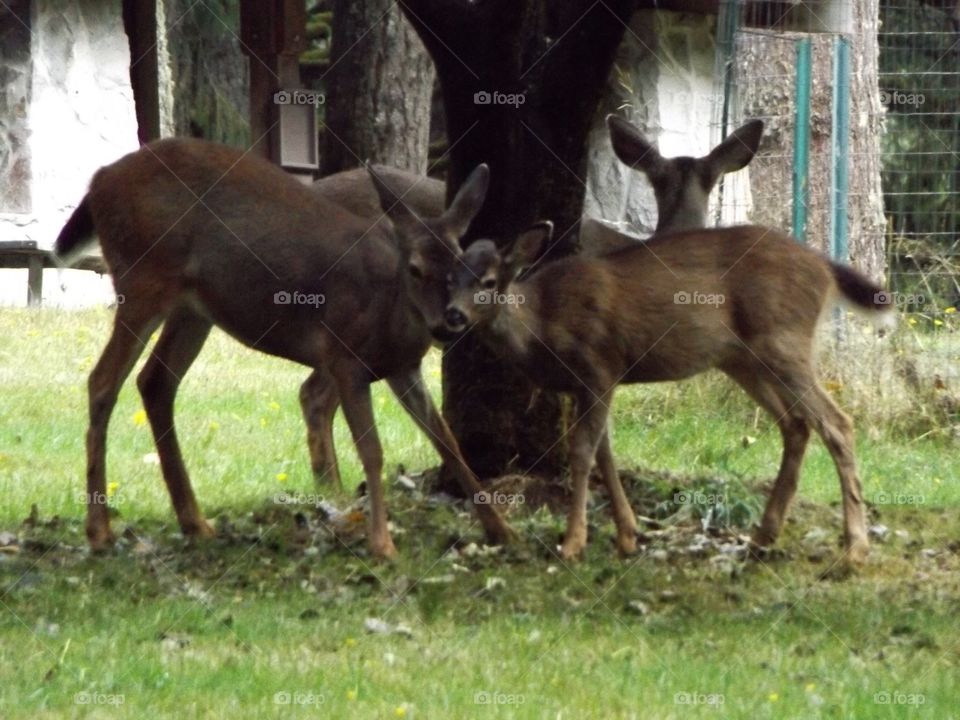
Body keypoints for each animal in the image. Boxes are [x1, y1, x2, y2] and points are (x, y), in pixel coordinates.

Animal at [54, 138, 514, 560]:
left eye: (464, 267)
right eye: (416, 269)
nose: (447, 323)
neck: (389, 309)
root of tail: (100, 179)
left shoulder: (404, 367)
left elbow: (447, 440)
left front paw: (501, 529)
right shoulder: (345, 356)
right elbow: (373, 451)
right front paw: (382, 544)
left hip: (194, 308)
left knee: (155, 381)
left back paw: (194, 522)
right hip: (143, 278)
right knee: (103, 381)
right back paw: (100, 530)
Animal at [441, 221, 894, 563]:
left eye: (488, 281)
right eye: (450, 276)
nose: (452, 314)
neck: (542, 322)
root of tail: (824, 266)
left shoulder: (599, 366)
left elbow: (583, 452)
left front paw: (573, 543)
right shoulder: (590, 384)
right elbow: (605, 453)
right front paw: (627, 535)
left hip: (783, 341)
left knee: (837, 422)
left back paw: (855, 547)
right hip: (743, 359)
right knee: (797, 424)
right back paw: (764, 535)